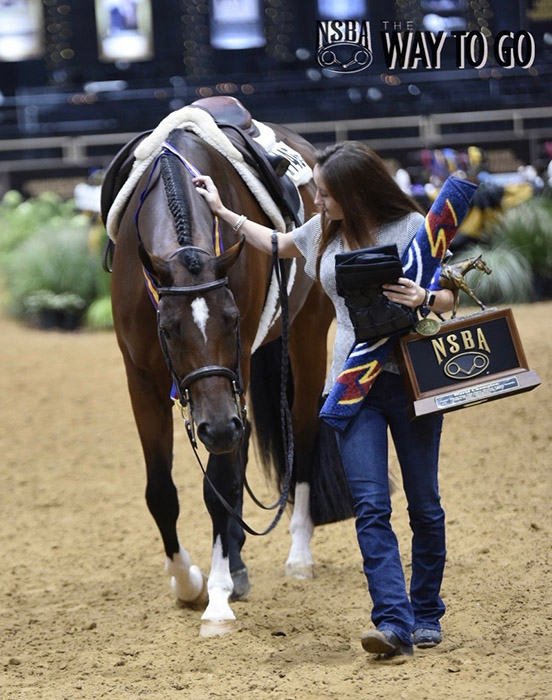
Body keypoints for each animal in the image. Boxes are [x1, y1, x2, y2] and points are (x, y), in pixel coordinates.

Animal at [102, 99, 341, 637]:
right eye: (168, 329)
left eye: (230, 319)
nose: (215, 427)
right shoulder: (139, 378)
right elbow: (161, 492)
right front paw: (188, 581)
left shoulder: (237, 366)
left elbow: (223, 486)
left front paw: (216, 598)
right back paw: (238, 562)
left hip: (305, 338)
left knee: (301, 435)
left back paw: (297, 554)